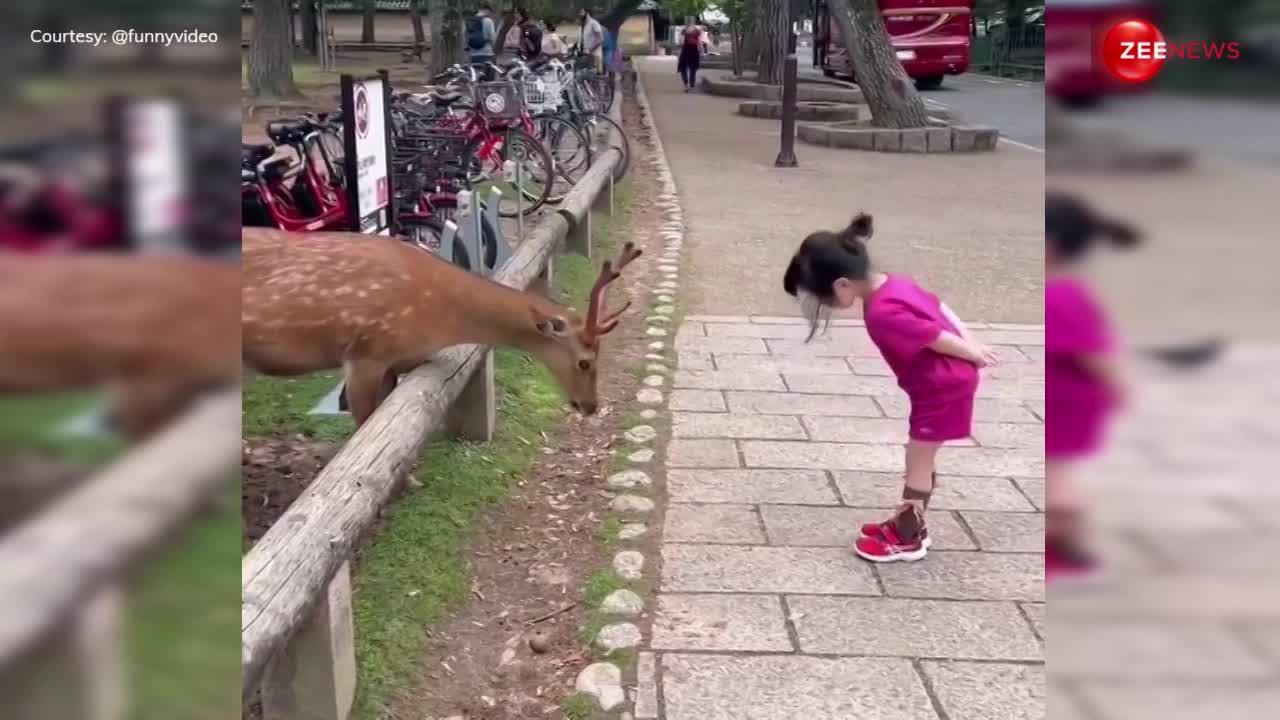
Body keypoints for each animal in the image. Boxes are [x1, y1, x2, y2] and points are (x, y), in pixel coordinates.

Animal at [241, 227, 642, 427]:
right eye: (585, 362)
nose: (590, 406)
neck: (438, 317)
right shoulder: (365, 352)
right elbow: (363, 427)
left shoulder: (396, 361)